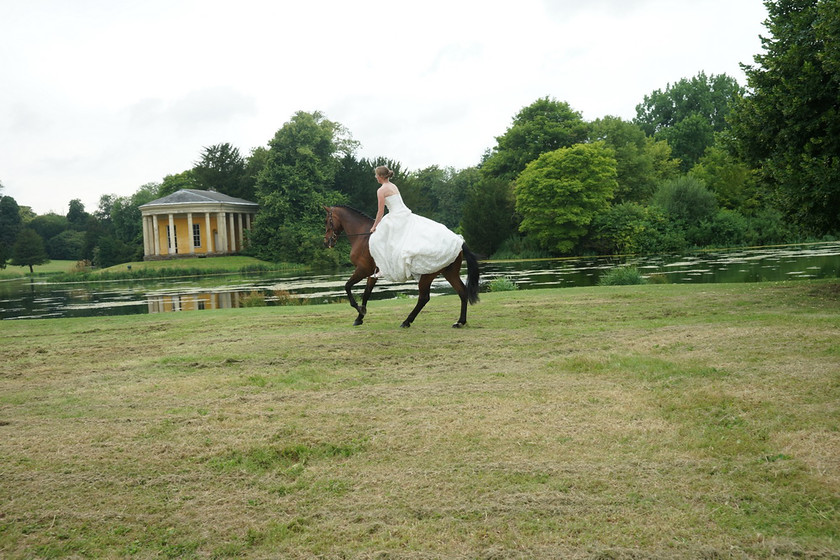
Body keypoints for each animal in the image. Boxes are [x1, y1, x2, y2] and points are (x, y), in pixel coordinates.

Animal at [322, 206, 480, 328]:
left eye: (327, 221)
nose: (326, 242)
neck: (363, 236)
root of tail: (459, 241)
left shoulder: (362, 270)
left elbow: (347, 286)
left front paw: (359, 310)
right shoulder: (372, 274)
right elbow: (366, 293)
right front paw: (360, 317)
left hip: (427, 276)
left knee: (424, 298)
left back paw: (407, 321)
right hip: (449, 273)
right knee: (462, 292)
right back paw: (460, 322)